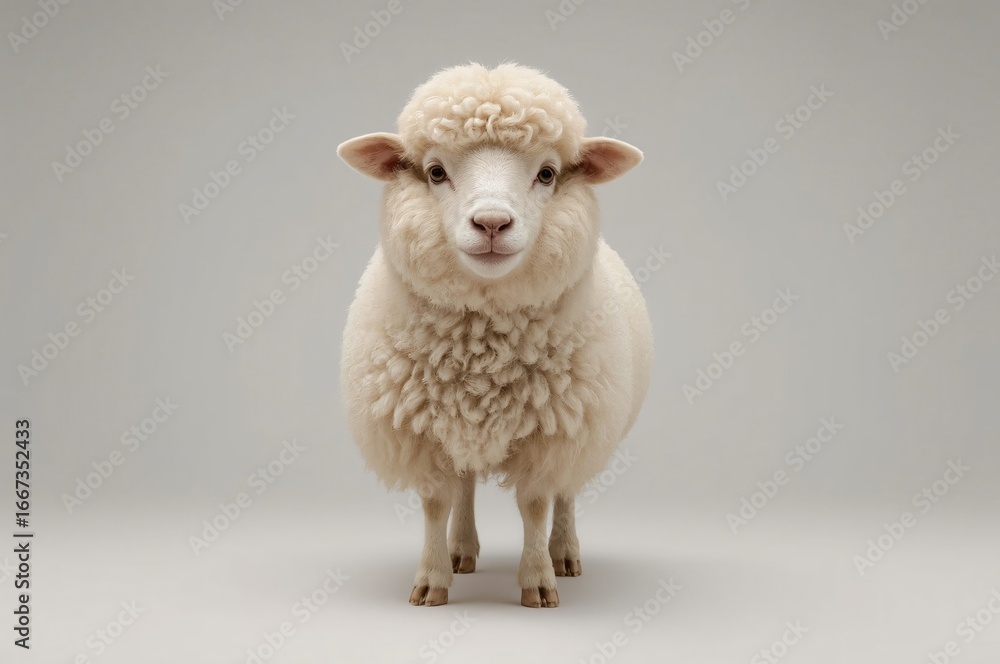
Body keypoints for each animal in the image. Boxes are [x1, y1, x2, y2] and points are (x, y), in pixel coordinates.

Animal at [337, 63, 653, 608]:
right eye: (436, 172)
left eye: (547, 173)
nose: (491, 223)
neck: (484, 342)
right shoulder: (425, 433)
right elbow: (437, 502)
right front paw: (432, 579)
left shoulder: (553, 433)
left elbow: (536, 504)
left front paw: (538, 580)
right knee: (465, 486)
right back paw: (462, 550)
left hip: (584, 423)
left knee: (566, 492)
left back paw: (564, 553)